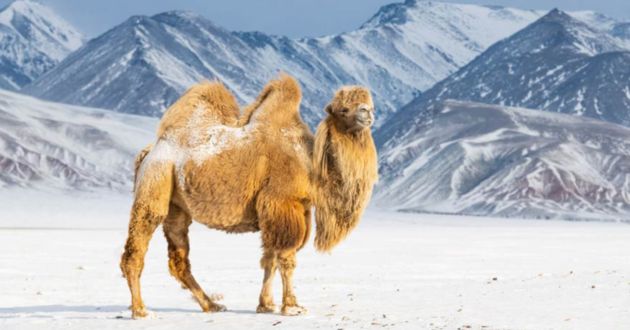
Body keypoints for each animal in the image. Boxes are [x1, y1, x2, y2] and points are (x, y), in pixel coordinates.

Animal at [120, 74, 378, 318]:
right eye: (343, 109)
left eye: (369, 105)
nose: (367, 112)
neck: (310, 161)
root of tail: (149, 151)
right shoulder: (282, 203)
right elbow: (287, 257)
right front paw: (292, 306)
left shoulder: (289, 211)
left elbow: (270, 258)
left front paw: (266, 305)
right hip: (155, 180)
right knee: (137, 246)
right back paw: (141, 310)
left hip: (177, 205)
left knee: (178, 256)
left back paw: (212, 305)